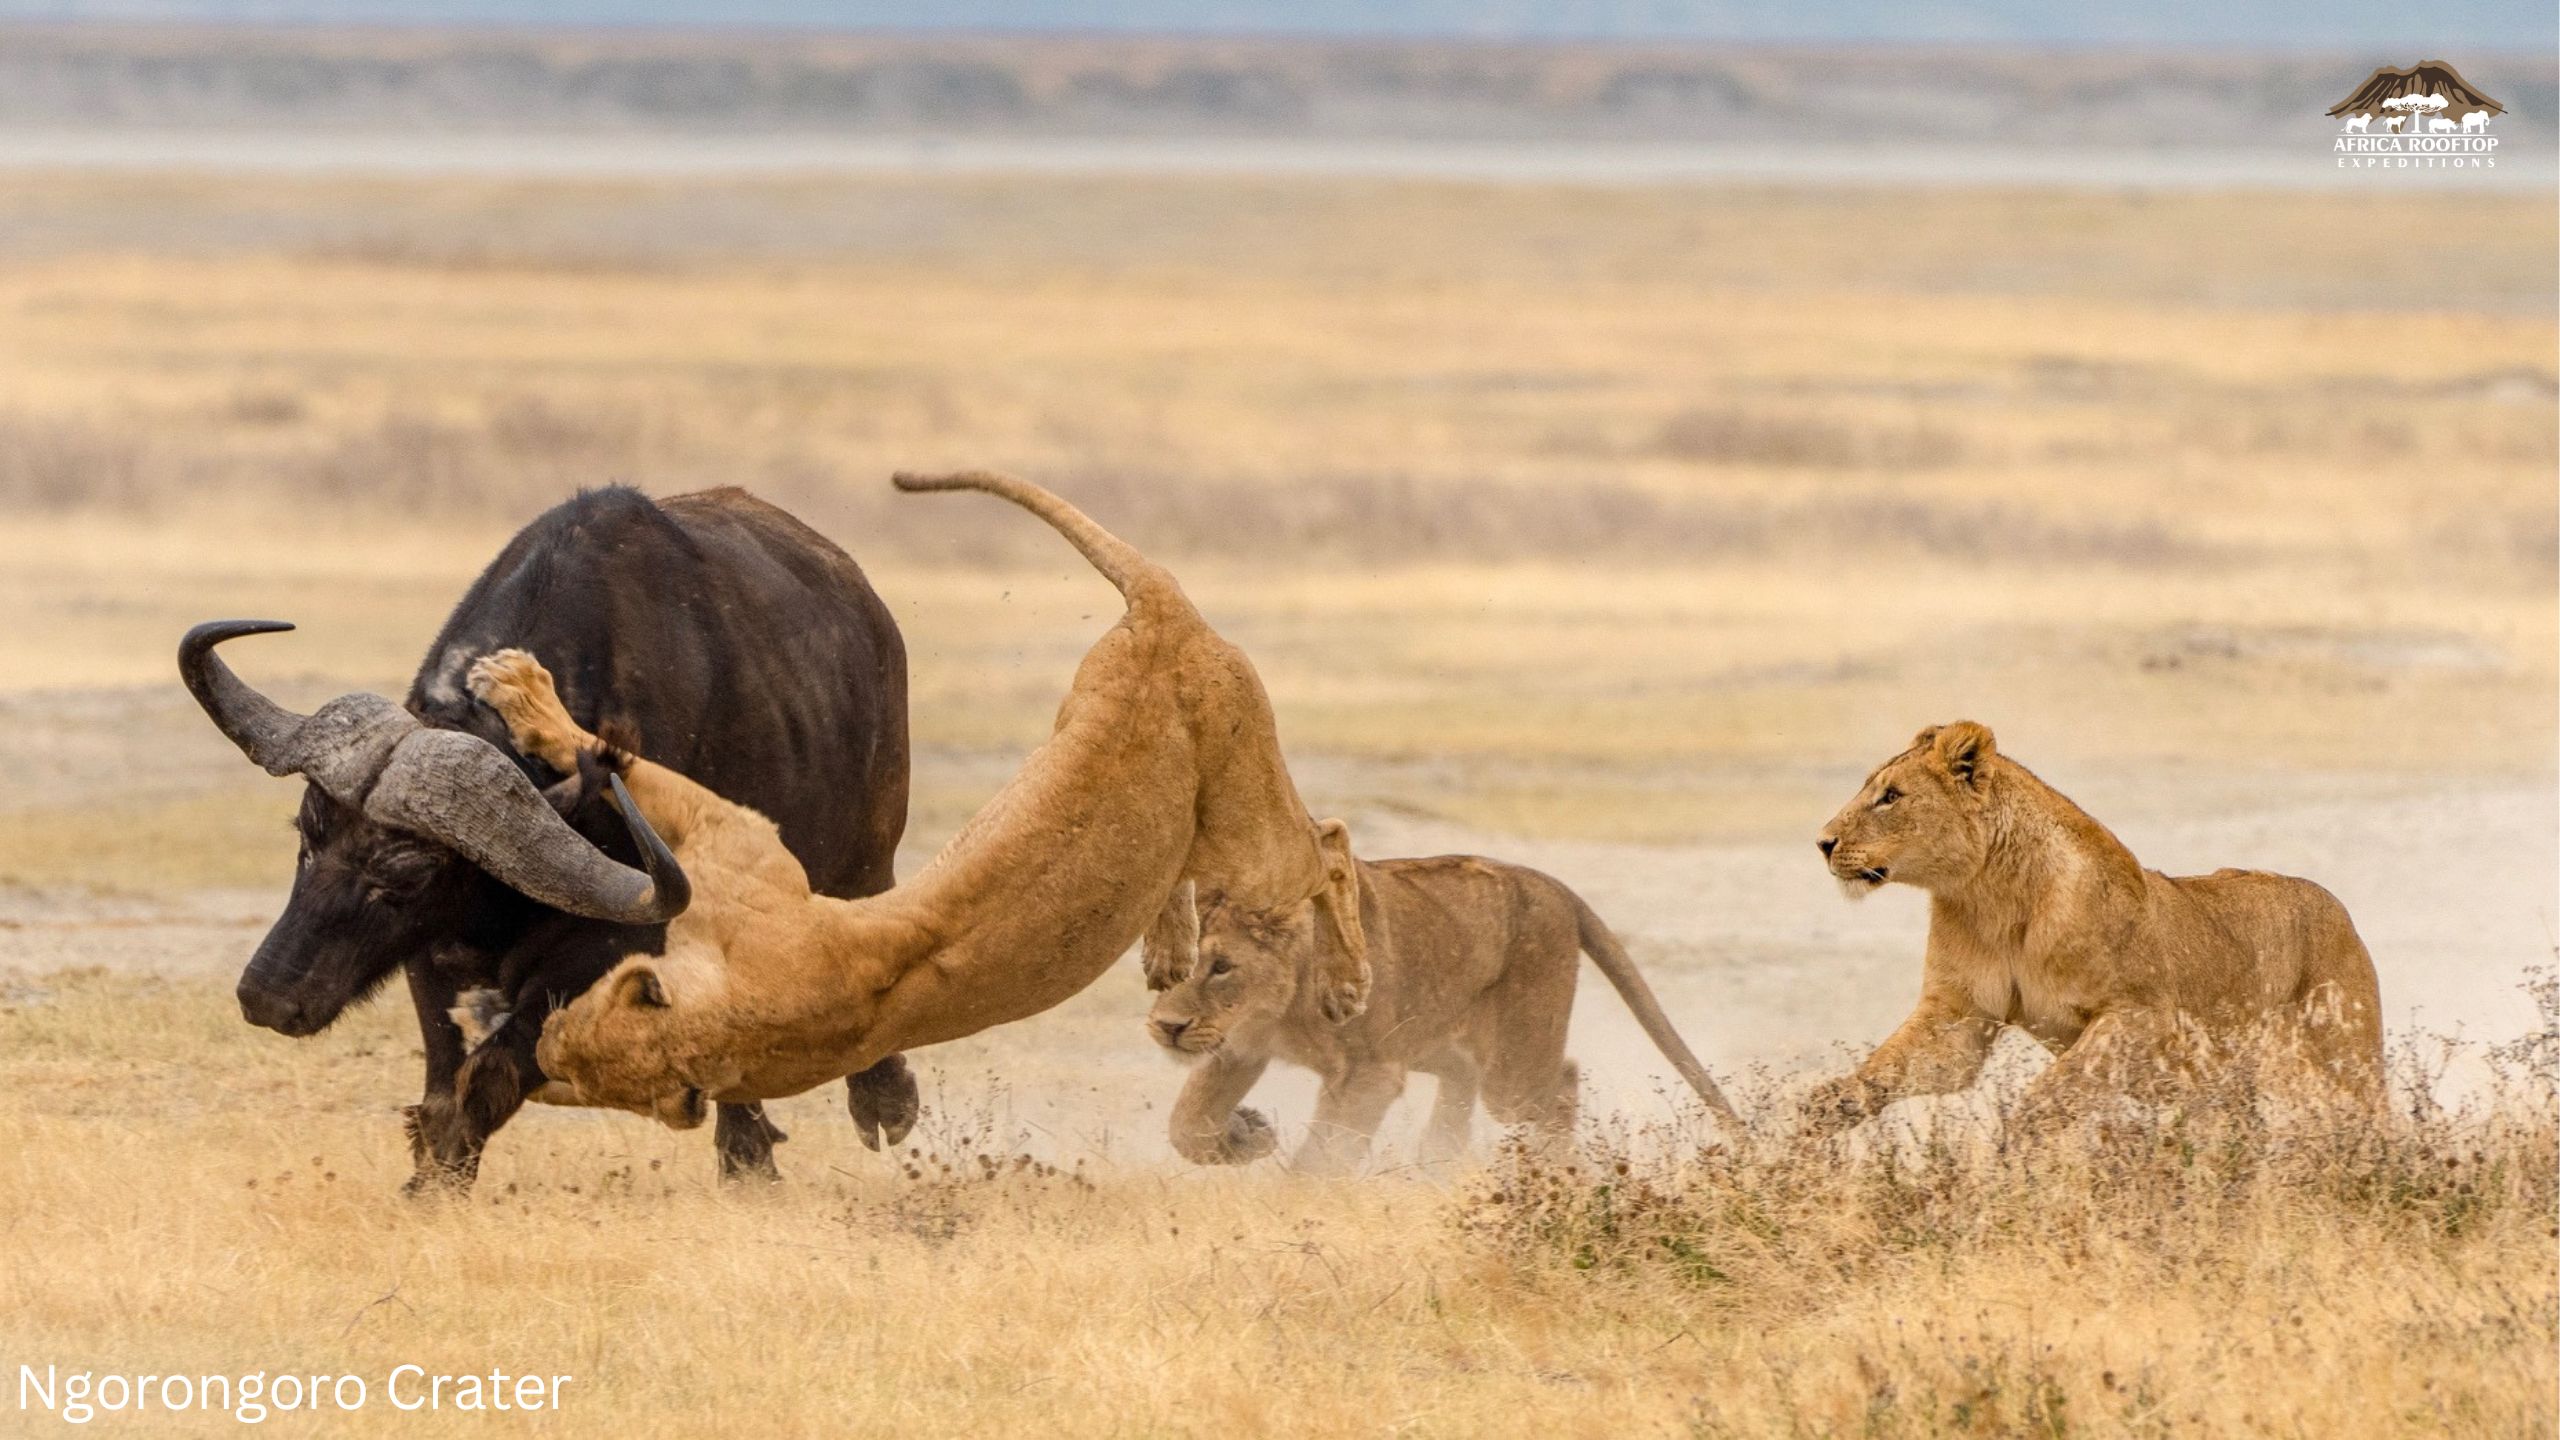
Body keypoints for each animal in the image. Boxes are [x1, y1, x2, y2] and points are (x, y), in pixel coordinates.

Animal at [172, 481, 911, 1188]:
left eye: (408, 871)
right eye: (307, 835)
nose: (267, 996)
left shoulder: (610, 951)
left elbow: (487, 1079)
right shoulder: (429, 955)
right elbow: (442, 1085)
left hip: (866, 858)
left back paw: (862, 1111)